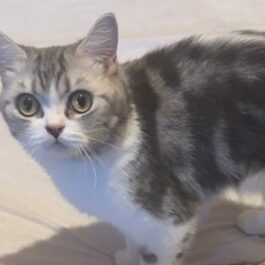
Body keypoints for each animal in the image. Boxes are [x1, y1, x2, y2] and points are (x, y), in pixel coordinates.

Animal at [0, 11, 264, 264]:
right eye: (27, 105)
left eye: (81, 101)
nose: (54, 128)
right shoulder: (132, 219)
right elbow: (131, 238)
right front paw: (127, 257)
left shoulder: (168, 226)